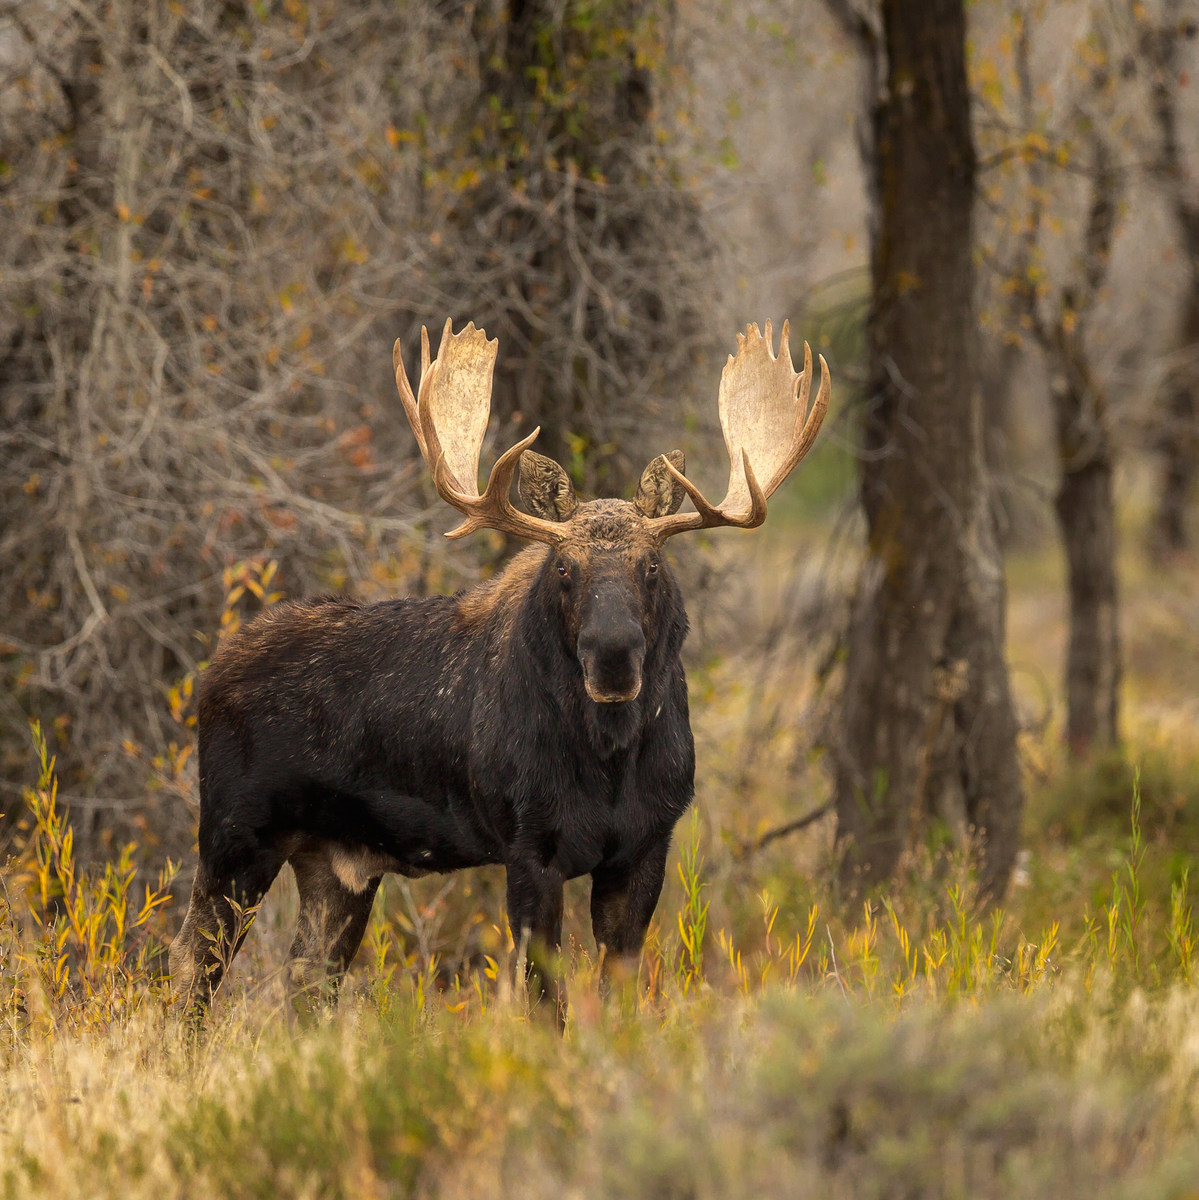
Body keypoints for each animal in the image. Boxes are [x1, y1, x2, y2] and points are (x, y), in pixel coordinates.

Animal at [166, 319, 825, 1012]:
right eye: (564, 568)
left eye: (651, 566)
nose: (613, 658)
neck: (610, 761)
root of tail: (209, 676)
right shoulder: (529, 846)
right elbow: (542, 997)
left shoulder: (645, 846)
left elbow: (617, 994)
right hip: (235, 835)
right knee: (191, 964)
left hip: (338, 862)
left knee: (307, 977)